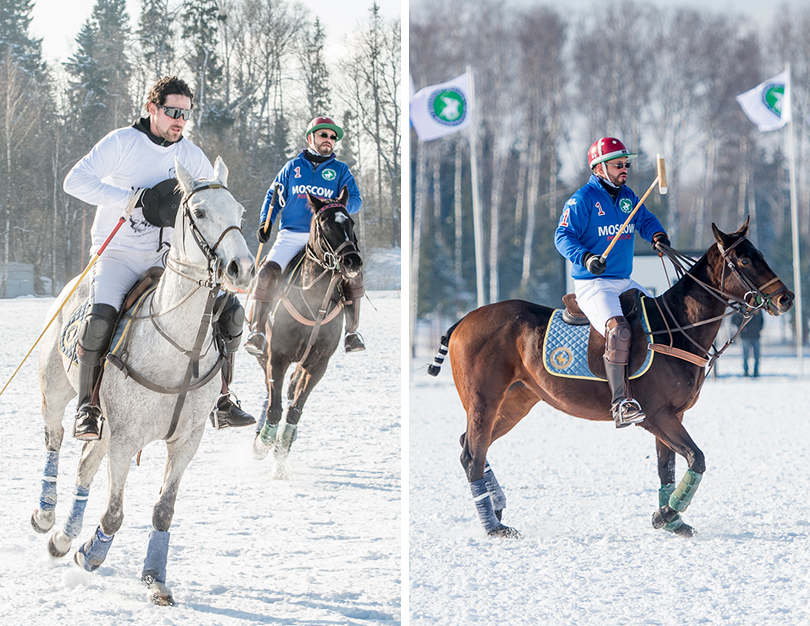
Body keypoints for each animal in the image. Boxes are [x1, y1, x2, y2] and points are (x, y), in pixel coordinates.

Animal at [31, 156, 252, 604]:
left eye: (239, 212)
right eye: (199, 211)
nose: (243, 268)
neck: (179, 352)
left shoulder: (186, 440)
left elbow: (163, 510)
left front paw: (155, 578)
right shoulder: (126, 437)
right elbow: (115, 514)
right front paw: (91, 555)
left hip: (104, 424)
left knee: (84, 464)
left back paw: (62, 538)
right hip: (56, 391)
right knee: (55, 438)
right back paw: (46, 515)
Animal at [252, 188, 360, 476]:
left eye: (350, 222)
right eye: (324, 224)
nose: (352, 260)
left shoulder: (318, 363)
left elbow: (294, 410)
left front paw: (281, 454)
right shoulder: (276, 355)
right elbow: (275, 407)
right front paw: (263, 443)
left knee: (290, 392)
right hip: (262, 352)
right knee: (270, 393)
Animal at [426, 219, 792, 536]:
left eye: (760, 254)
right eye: (744, 259)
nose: (785, 298)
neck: (677, 328)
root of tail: (462, 321)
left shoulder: (674, 415)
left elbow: (668, 468)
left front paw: (672, 519)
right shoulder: (656, 415)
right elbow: (696, 458)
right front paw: (666, 515)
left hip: (516, 401)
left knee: (472, 444)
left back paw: (498, 507)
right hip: (484, 400)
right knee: (472, 455)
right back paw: (493, 527)